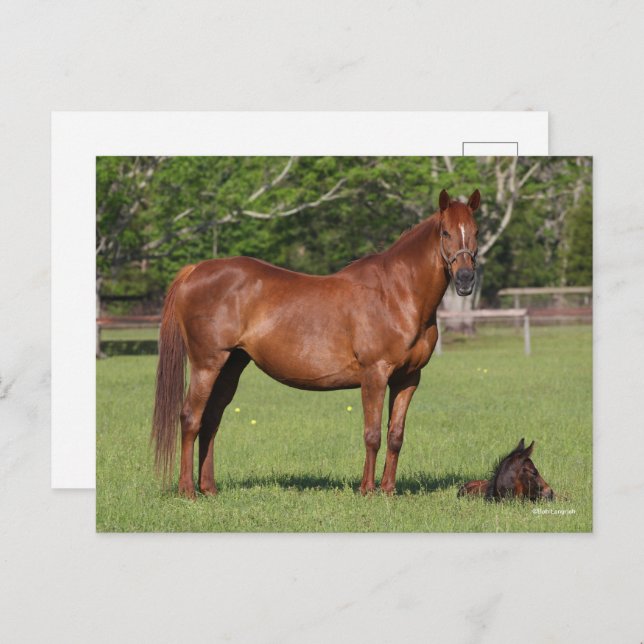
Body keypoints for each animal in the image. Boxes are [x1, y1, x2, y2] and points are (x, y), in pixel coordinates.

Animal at [152, 188, 481, 498]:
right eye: (445, 232)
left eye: (476, 232)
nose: (465, 279)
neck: (396, 294)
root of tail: (195, 270)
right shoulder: (374, 374)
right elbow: (372, 434)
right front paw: (367, 490)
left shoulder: (408, 378)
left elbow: (395, 435)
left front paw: (388, 490)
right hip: (207, 365)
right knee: (191, 418)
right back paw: (187, 490)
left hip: (231, 365)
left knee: (211, 421)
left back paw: (209, 488)